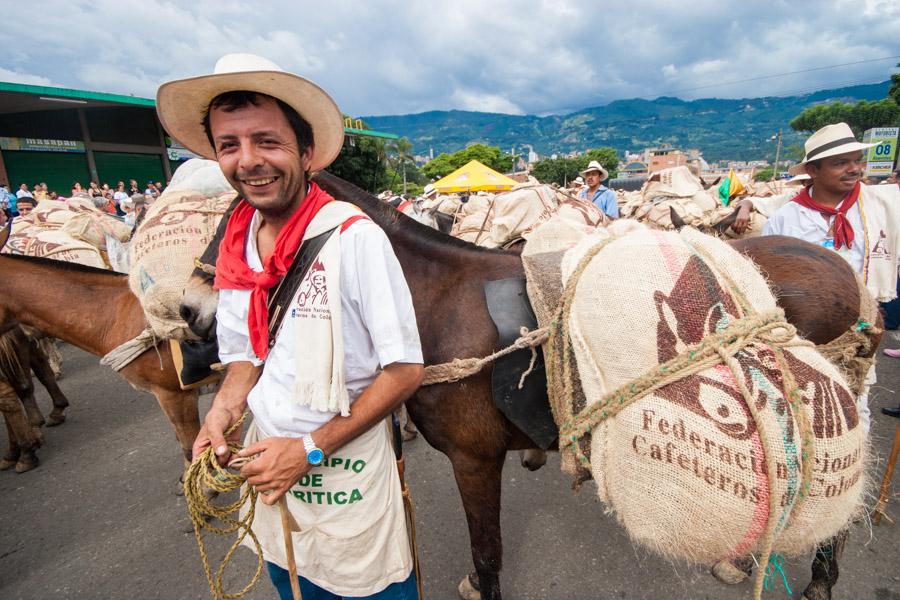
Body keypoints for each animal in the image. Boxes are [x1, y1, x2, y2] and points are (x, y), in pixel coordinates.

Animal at [179, 171, 876, 596]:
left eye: (246, 226)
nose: (189, 314)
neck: (431, 299)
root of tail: (845, 277)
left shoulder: (474, 458)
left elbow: (487, 549)